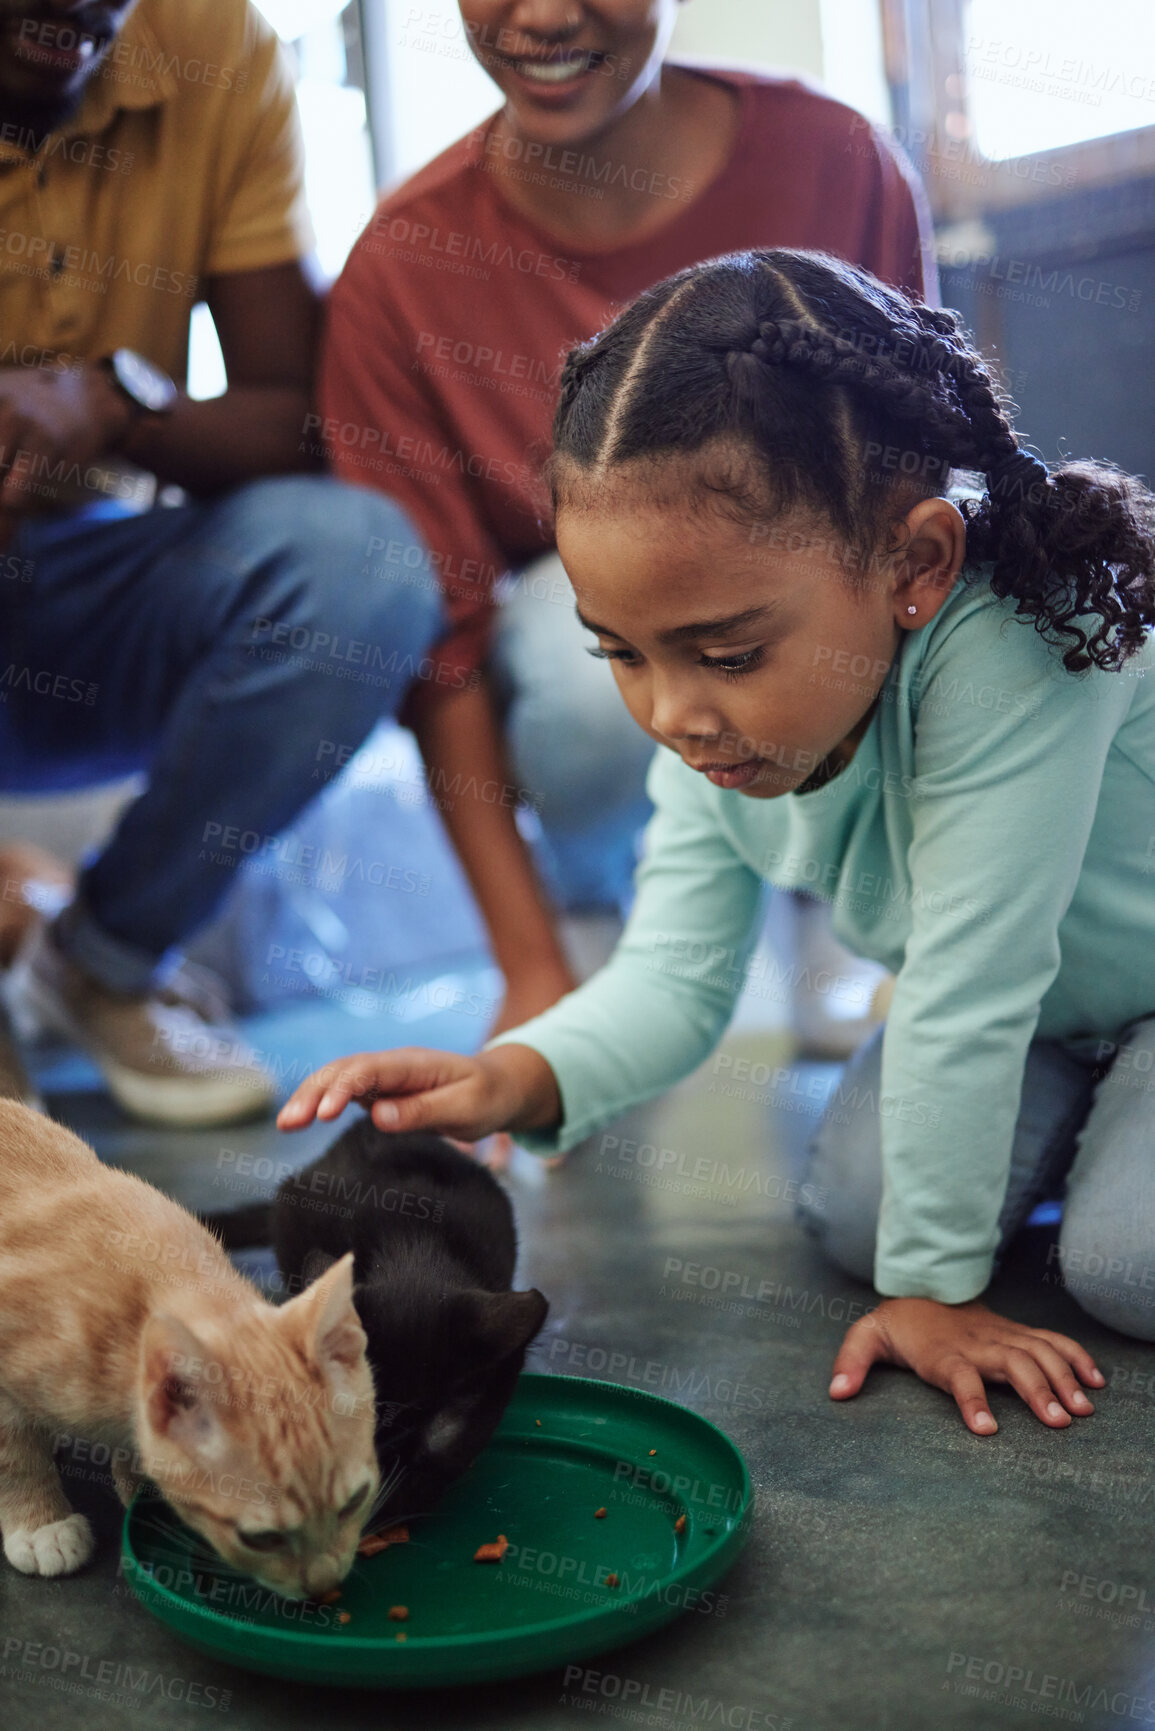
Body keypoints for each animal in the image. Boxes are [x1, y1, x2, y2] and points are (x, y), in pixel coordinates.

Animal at [0, 1100, 379, 1599]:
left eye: (355, 1501)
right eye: (261, 1539)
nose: (323, 1586)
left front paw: (137, 1482)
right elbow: (14, 1453)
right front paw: (41, 1524)